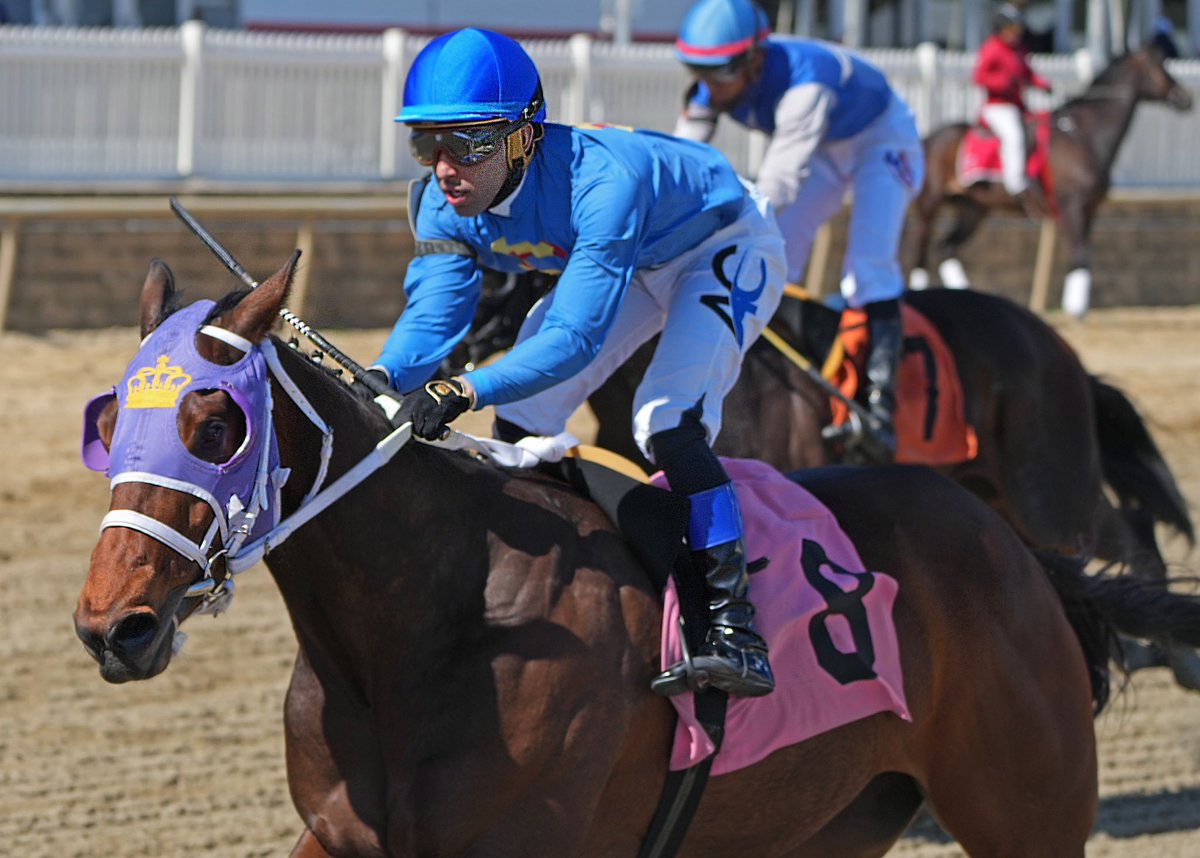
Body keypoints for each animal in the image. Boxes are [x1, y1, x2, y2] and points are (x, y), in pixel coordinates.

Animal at [72, 256, 1200, 858]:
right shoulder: (344, 834)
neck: (424, 622)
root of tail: (1024, 564)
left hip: (1029, 802)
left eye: (216, 423)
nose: (112, 624)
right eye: (112, 419)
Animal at [907, 42, 1190, 314]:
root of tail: (927, 137)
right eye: (1159, 66)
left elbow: (1083, 252)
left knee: (946, 249)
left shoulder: (1090, 209)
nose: (1185, 98)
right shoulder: (1072, 205)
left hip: (973, 208)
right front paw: (1075, 309)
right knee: (920, 252)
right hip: (930, 205)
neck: (1084, 135)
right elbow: (1080, 253)